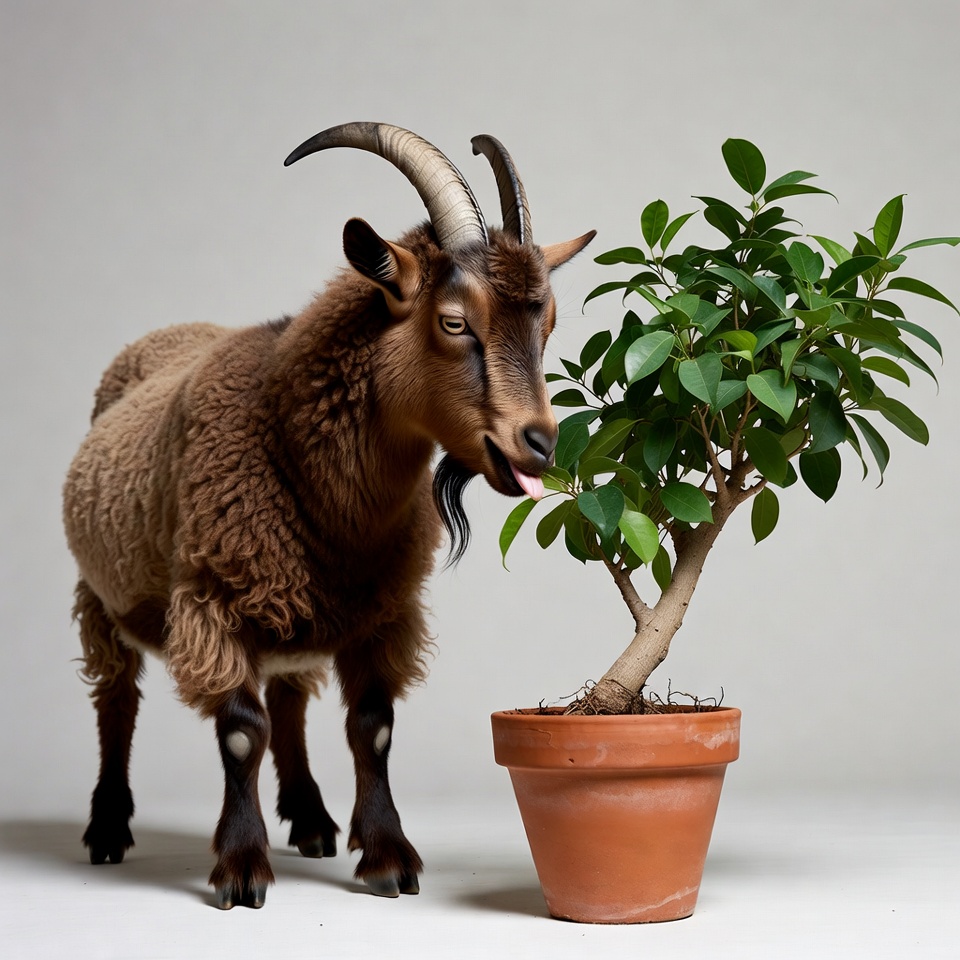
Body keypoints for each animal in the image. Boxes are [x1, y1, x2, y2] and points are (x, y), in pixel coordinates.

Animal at [62, 122, 594, 909]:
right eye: (454, 321)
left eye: (549, 323)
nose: (539, 441)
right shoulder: (212, 600)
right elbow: (240, 732)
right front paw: (240, 869)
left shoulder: (380, 610)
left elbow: (372, 727)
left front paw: (389, 857)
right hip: (102, 595)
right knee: (117, 699)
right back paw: (106, 830)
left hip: (295, 610)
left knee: (289, 699)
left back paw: (311, 818)